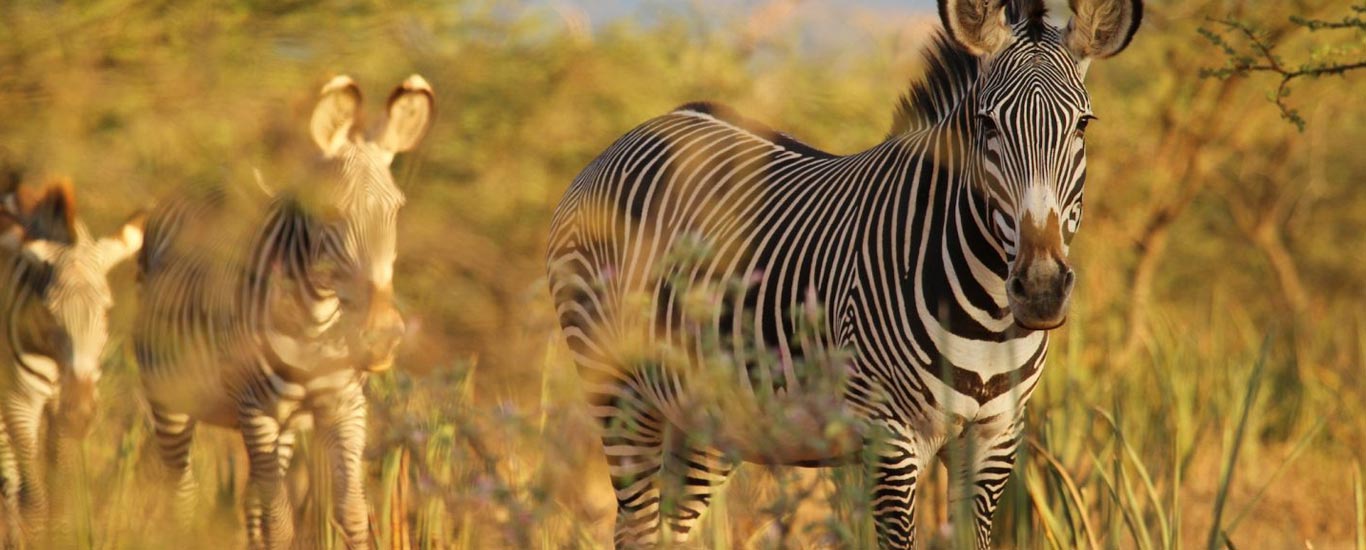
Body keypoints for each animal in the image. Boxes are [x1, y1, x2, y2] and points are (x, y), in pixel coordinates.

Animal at [0, 177, 145, 543]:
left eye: (107, 311)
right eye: (48, 311)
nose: (79, 412)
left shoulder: (61, 413)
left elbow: (60, 500)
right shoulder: (20, 401)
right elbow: (35, 503)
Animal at [133, 74, 431, 550]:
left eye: (397, 209)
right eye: (329, 211)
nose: (381, 337)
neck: (316, 325)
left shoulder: (346, 407)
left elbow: (352, 513)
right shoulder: (258, 412)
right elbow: (280, 523)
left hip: (282, 426)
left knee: (250, 504)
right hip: (171, 398)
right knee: (183, 494)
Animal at [543, 0, 1141, 545]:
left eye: (1083, 125)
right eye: (986, 123)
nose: (1040, 289)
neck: (991, 318)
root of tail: (640, 131)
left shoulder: (995, 439)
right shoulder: (890, 441)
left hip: (707, 417)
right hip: (619, 391)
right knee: (636, 526)